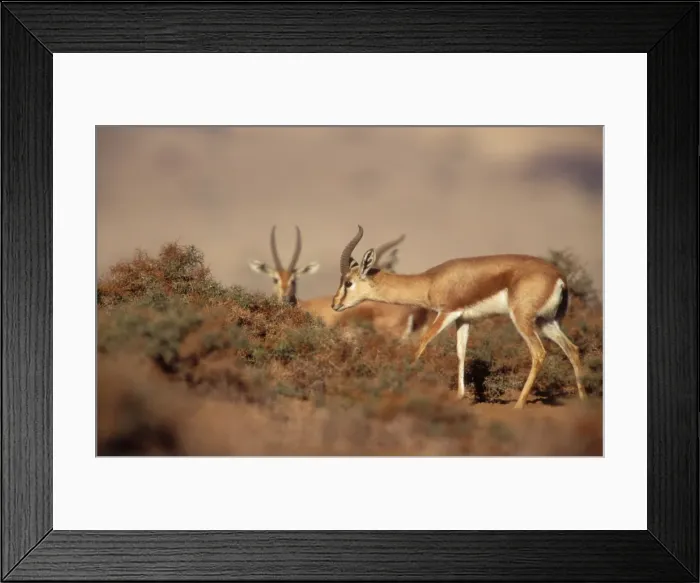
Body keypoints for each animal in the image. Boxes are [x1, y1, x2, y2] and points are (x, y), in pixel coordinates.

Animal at [331, 225, 586, 409]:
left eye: (348, 282)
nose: (335, 304)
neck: (430, 281)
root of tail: (558, 277)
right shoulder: (464, 320)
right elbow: (461, 353)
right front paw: (460, 396)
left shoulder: (447, 312)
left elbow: (422, 343)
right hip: (547, 322)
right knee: (572, 349)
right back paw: (583, 401)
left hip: (524, 321)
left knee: (539, 353)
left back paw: (519, 405)